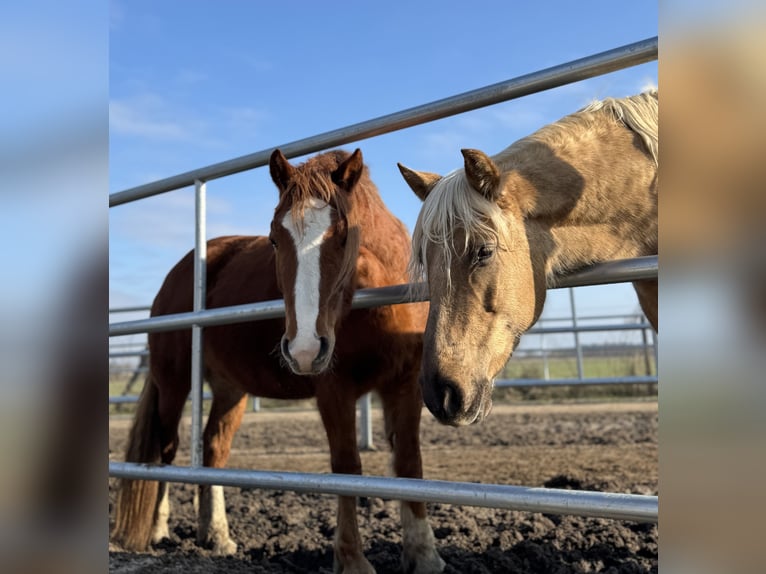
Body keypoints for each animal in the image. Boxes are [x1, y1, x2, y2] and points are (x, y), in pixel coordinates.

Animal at [116, 150, 448, 574]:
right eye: (275, 238)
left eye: (343, 235)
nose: (304, 348)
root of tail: (178, 273)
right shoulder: (334, 392)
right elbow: (347, 466)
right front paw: (352, 559)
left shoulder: (404, 387)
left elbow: (409, 463)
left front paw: (424, 555)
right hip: (174, 383)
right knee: (167, 447)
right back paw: (158, 529)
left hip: (230, 390)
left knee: (213, 448)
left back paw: (217, 535)